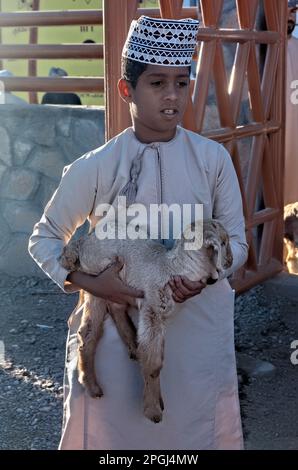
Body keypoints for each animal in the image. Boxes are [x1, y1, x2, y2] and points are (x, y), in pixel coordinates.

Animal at [59, 218, 233, 424]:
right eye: (223, 242)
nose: (230, 261)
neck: (171, 267)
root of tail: (80, 243)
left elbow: (158, 356)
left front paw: (158, 400)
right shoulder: (152, 311)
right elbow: (154, 364)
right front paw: (153, 411)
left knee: (108, 315)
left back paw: (132, 348)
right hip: (99, 280)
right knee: (89, 332)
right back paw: (93, 385)